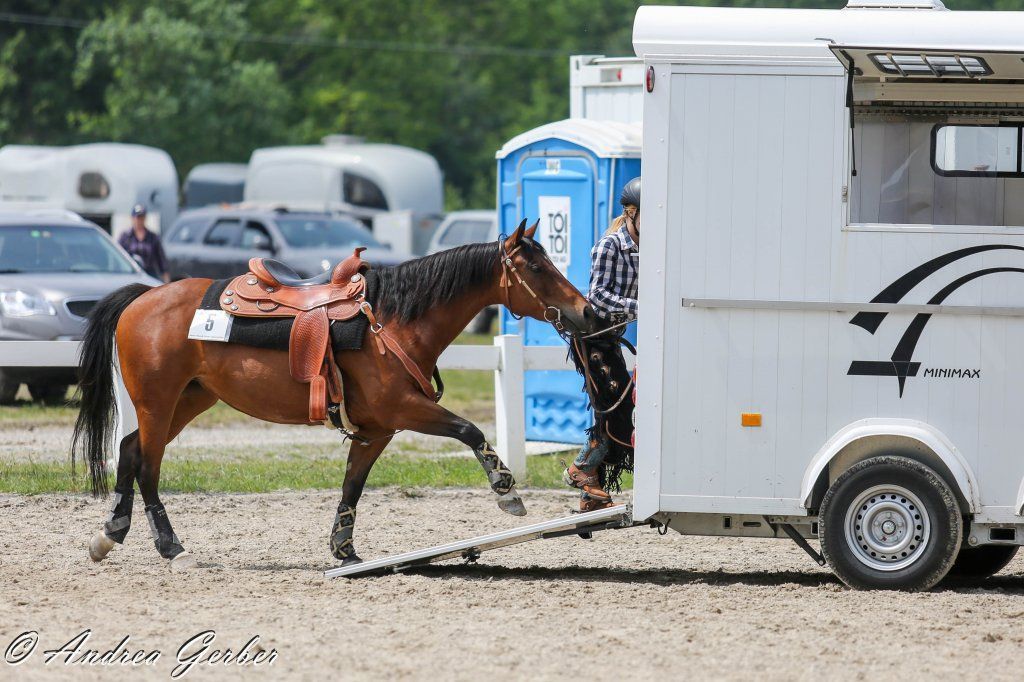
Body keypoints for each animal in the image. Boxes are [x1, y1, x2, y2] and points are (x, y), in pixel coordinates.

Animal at [73, 220, 596, 569]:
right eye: (535, 266)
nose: (587, 311)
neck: (394, 321)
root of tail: (143, 297)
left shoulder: (377, 429)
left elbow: (352, 486)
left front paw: (344, 550)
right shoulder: (405, 410)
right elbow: (468, 429)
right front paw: (507, 491)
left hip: (190, 399)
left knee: (129, 449)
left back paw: (110, 535)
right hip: (158, 401)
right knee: (147, 465)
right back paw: (170, 546)